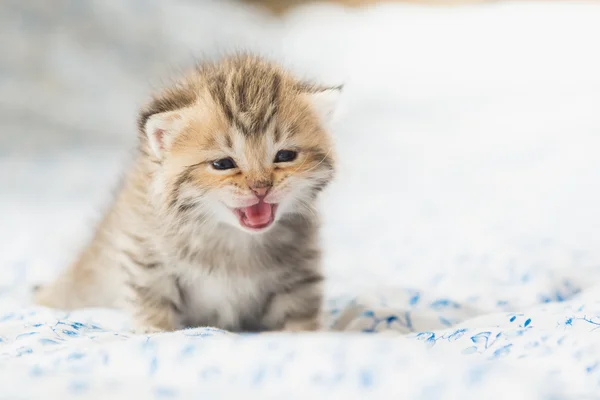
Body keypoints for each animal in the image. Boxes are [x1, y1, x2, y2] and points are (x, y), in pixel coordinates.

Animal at [34, 54, 342, 334]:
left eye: (285, 156)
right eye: (223, 164)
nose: (261, 186)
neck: (232, 240)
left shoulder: (300, 271)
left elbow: (299, 309)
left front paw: (305, 333)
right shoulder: (146, 256)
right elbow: (153, 300)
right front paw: (155, 331)